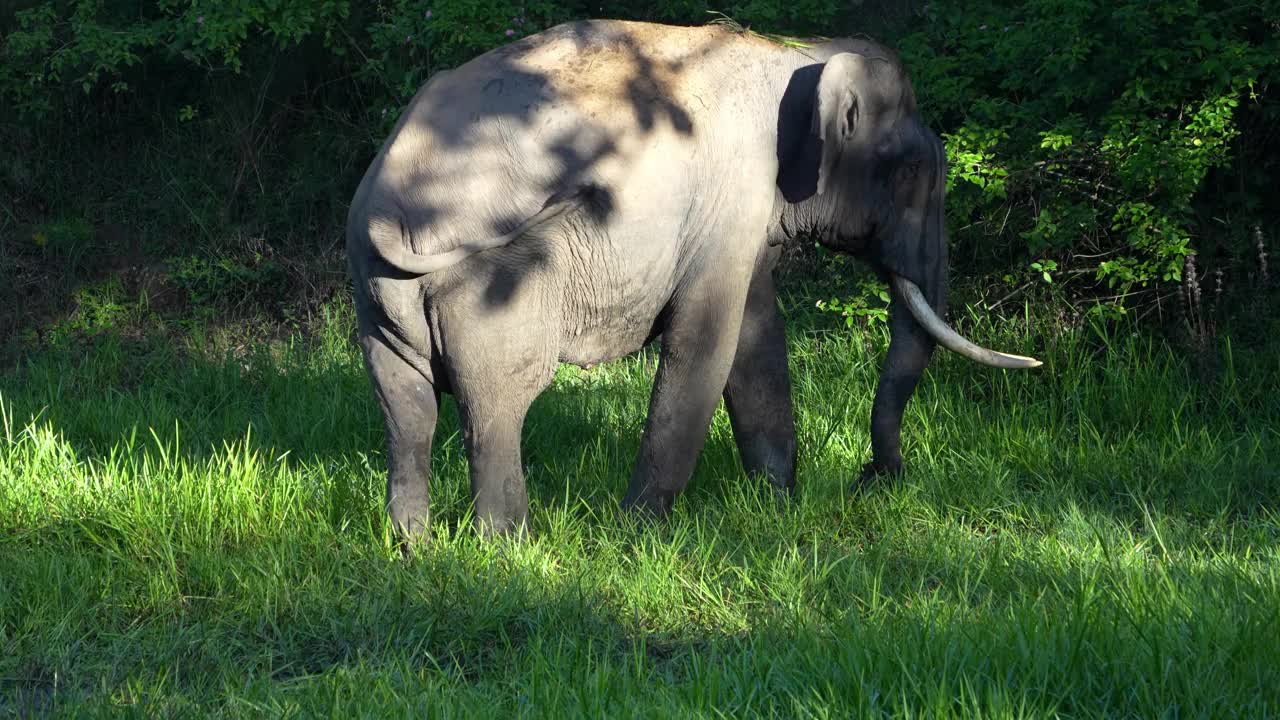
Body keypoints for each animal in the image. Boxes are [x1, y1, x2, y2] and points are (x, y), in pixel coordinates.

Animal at [348, 18, 1039, 538]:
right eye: (912, 173)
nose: (872, 480)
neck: (800, 51)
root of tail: (389, 202)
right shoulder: (731, 193)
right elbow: (706, 344)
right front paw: (637, 536)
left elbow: (755, 337)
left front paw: (775, 508)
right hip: (494, 293)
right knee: (496, 407)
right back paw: (508, 549)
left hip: (378, 299)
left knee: (406, 406)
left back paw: (412, 547)